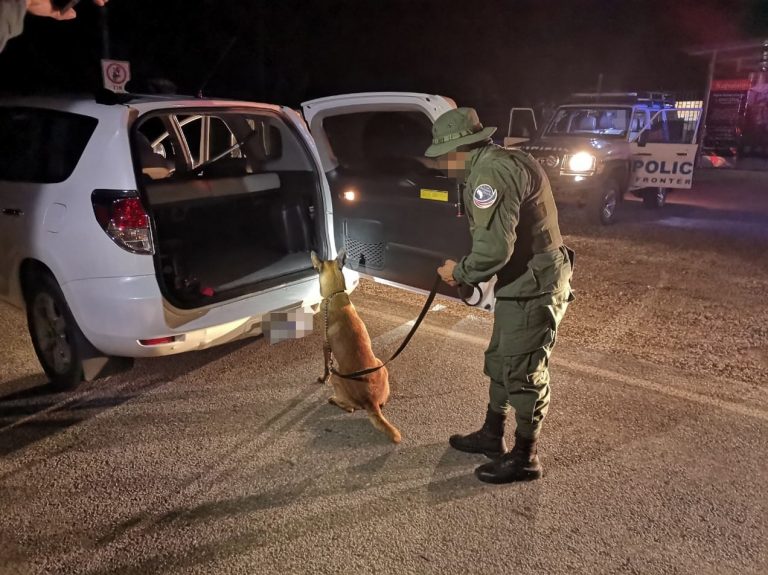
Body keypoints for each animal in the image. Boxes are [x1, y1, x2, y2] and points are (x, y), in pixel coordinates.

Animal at [312, 250, 402, 444]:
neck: (335, 294)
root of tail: (371, 401)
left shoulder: (325, 345)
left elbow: (325, 367)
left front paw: (322, 379)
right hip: (381, 364)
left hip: (337, 377)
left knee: (350, 408)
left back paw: (333, 400)